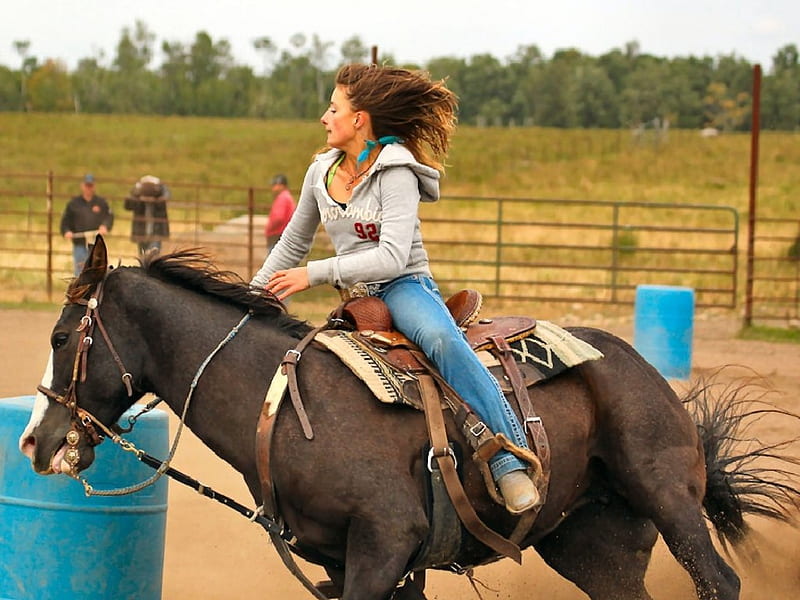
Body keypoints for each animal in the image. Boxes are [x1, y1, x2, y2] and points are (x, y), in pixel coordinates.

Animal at [18, 237, 800, 596]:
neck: (285, 405)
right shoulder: (348, 562)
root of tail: (642, 368)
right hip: (592, 543)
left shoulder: (383, 546)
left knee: (717, 579)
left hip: (666, 494)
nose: (34, 441)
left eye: (60, 337)